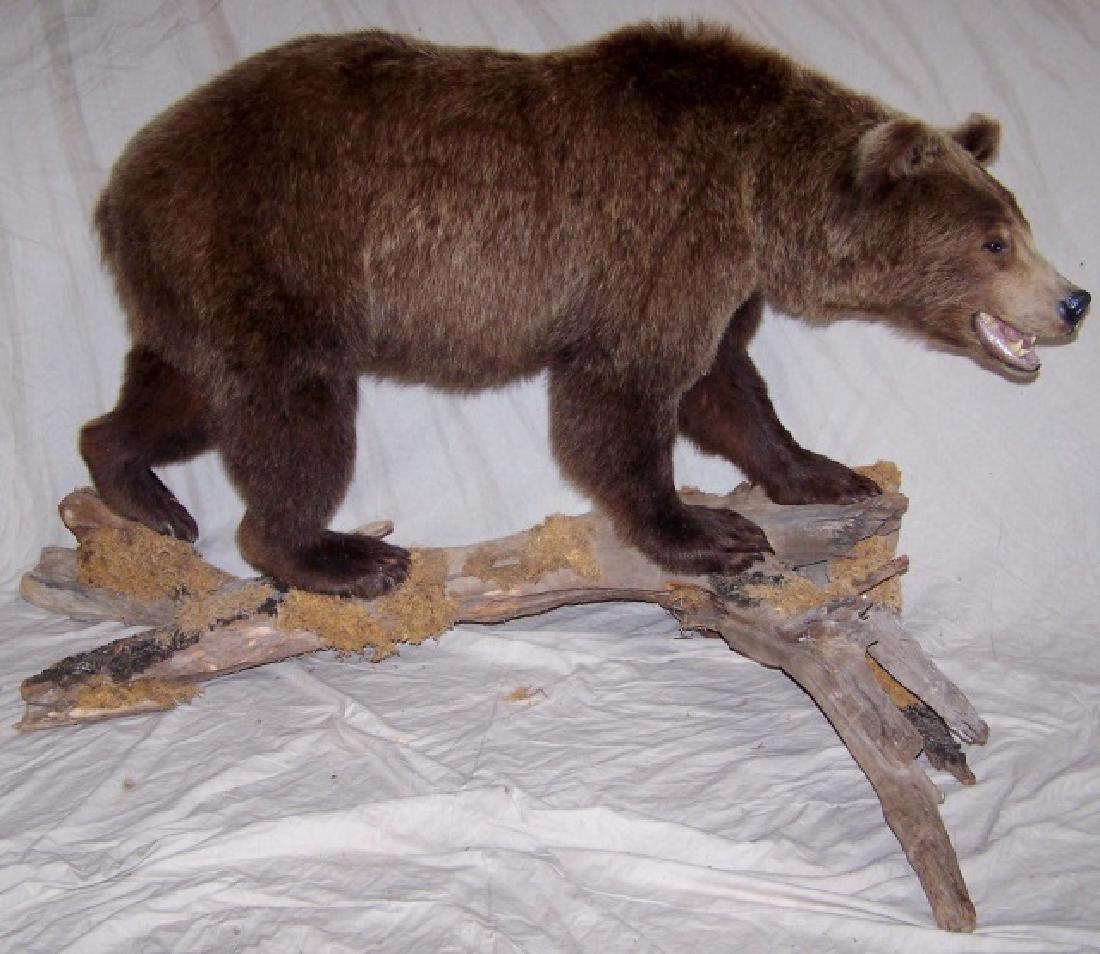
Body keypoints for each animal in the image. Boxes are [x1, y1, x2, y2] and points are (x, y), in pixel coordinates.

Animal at [81, 21, 1089, 599]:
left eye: (1018, 222)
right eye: (995, 241)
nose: (1074, 299)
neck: (765, 199)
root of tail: (122, 183)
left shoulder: (720, 277)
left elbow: (728, 389)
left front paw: (825, 473)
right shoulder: (662, 234)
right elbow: (625, 397)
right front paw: (707, 532)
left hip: (199, 286)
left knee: (180, 395)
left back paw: (139, 488)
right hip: (273, 246)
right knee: (294, 418)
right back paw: (336, 555)